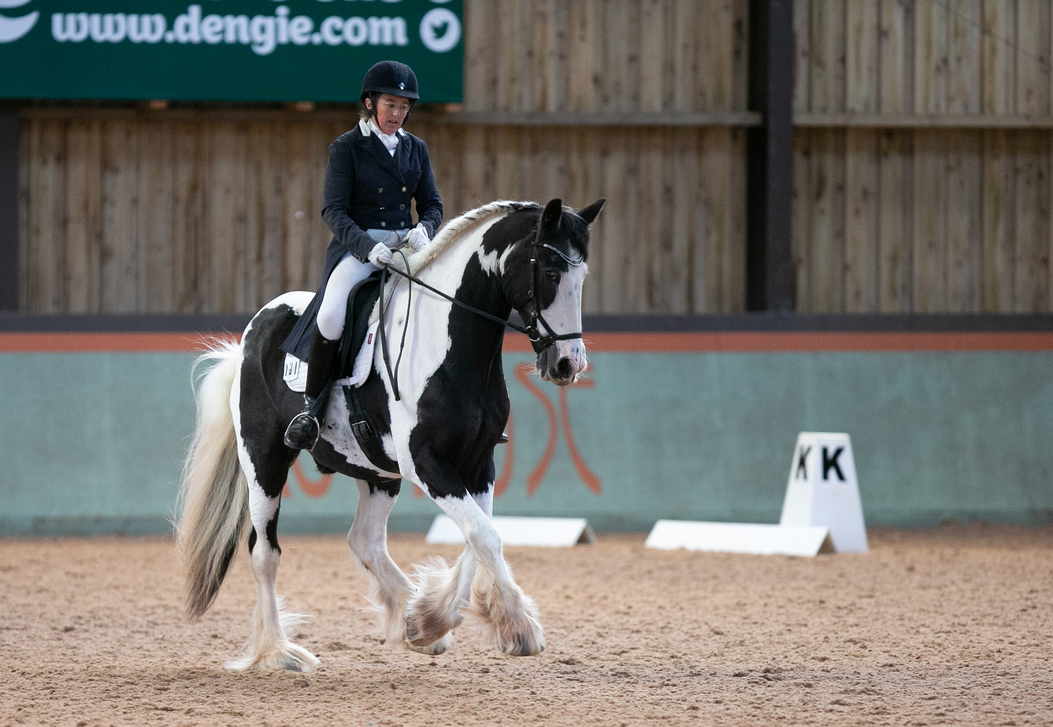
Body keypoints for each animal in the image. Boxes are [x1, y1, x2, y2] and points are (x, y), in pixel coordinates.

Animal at [175, 197, 605, 671]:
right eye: (551, 273)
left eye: (581, 276)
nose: (568, 363)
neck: (452, 345)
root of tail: (248, 339)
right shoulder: (426, 463)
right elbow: (484, 534)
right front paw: (519, 626)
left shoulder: (478, 462)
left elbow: (479, 534)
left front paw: (431, 618)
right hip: (264, 462)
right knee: (264, 553)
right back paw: (279, 651)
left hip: (378, 473)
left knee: (364, 540)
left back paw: (410, 617)